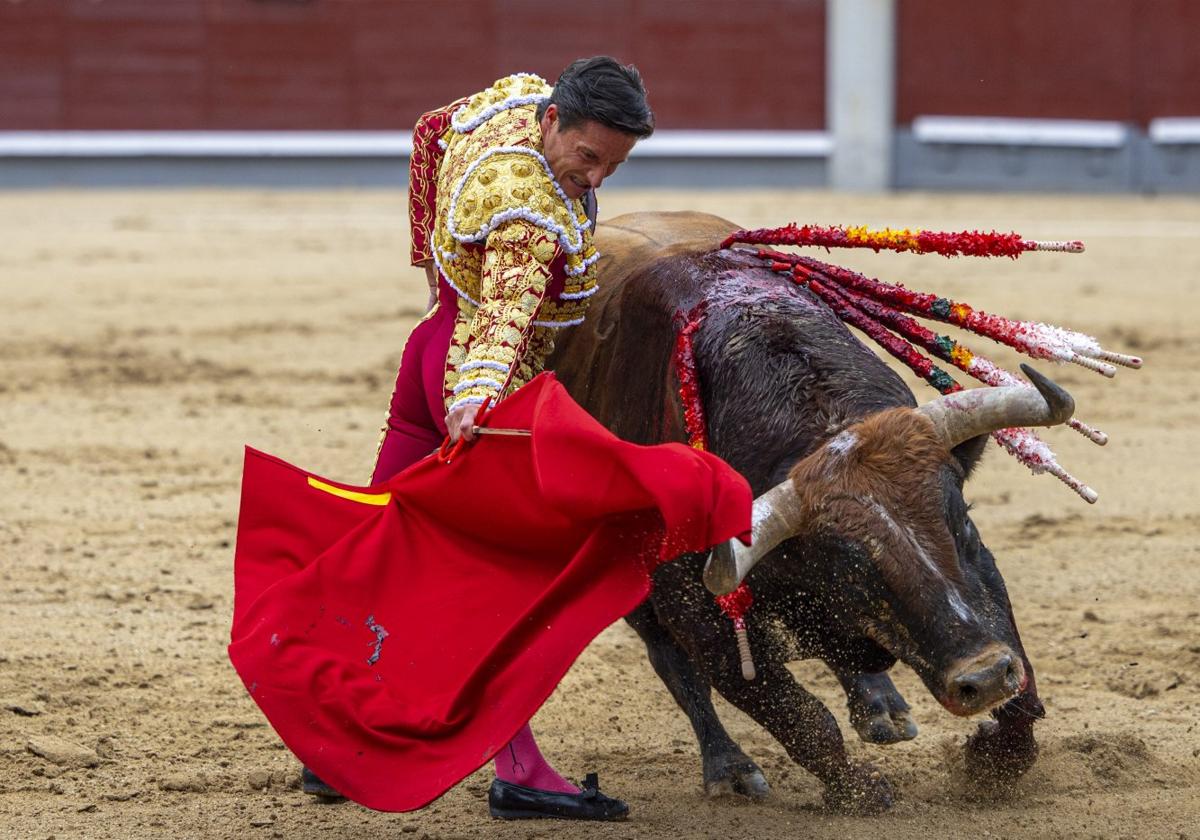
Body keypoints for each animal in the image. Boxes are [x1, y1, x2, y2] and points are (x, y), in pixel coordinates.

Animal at [549, 211, 1075, 816]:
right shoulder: (697, 614)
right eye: (849, 569)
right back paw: (730, 769)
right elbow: (798, 718)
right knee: (675, 668)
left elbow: (1021, 678)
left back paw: (883, 708)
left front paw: (994, 760)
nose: (983, 677)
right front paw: (860, 791)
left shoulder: (980, 572)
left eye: (960, 520)